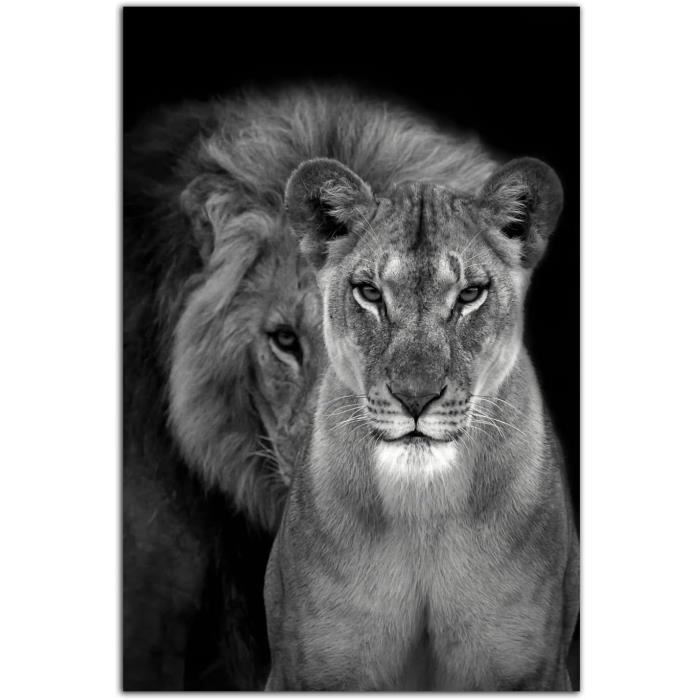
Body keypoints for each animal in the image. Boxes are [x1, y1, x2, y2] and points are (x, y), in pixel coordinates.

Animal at [263, 157, 579, 690]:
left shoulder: (534, 669)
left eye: (470, 294)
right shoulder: (309, 669)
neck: (422, 509)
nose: (415, 398)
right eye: (370, 293)